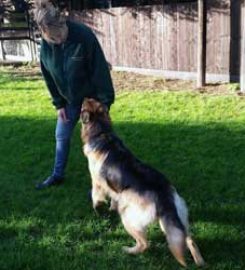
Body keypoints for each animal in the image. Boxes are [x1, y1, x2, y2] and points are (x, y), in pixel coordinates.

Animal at [80, 98, 205, 266]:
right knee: (189, 239)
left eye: (83, 105)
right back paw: (199, 262)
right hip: (176, 220)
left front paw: (98, 209)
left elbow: (96, 197)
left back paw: (128, 250)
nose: (84, 97)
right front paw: (111, 207)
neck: (102, 132)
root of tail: (163, 193)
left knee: (145, 243)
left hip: (128, 217)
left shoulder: (97, 182)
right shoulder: (113, 188)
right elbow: (113, 197)